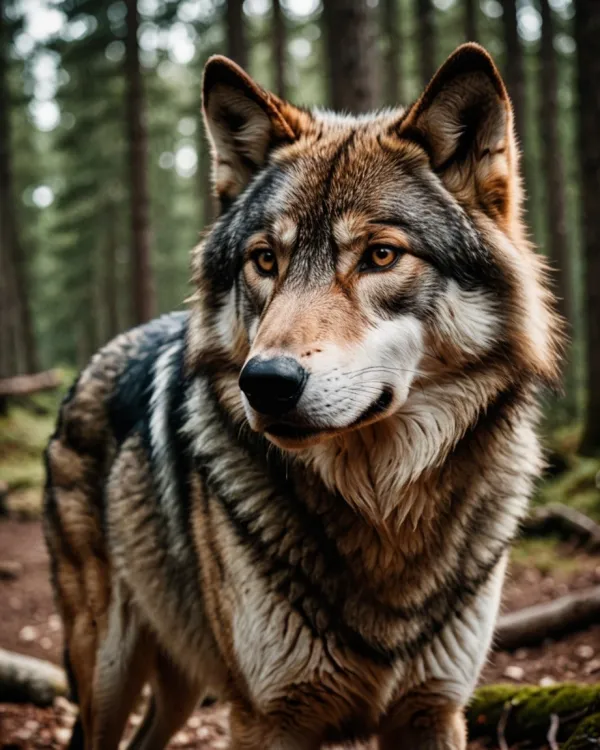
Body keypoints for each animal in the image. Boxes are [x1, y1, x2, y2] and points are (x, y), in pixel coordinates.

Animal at [44, 43, 561, 749]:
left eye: (380, 256)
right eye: (265, 260)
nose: (264, 382)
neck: (381, 516)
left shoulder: (433, 710)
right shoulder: (268, 717)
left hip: (181, 683)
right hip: (109, 671)